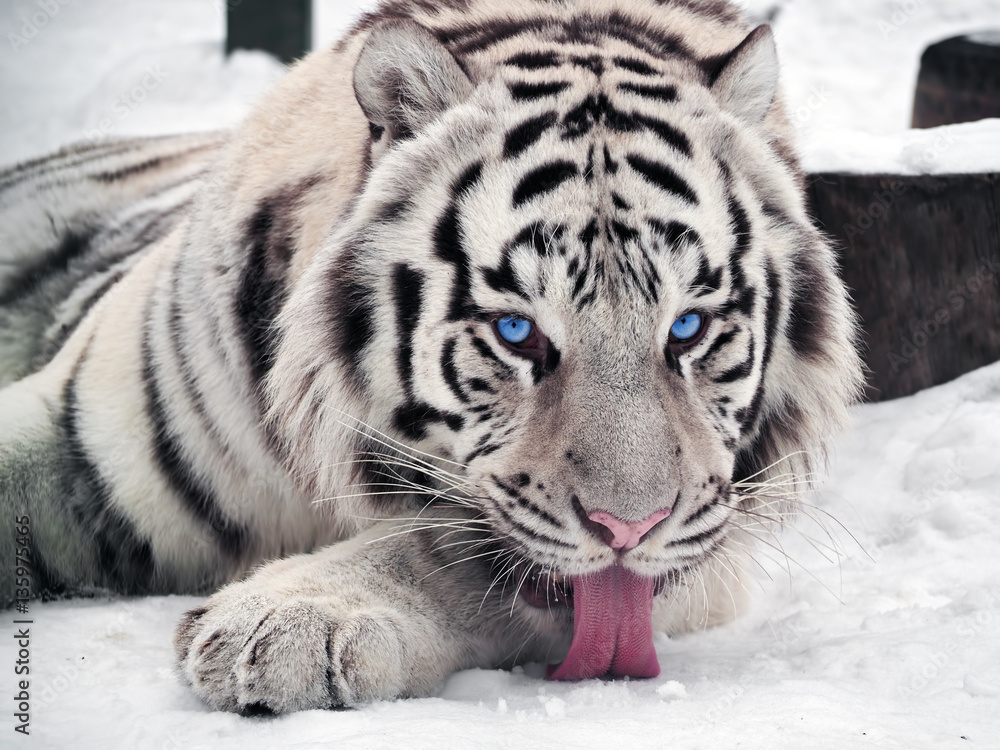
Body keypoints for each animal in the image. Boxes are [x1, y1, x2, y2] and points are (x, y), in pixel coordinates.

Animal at [0, 0, 860, 716]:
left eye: (686, 328)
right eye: (516, 332)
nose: (629, 528)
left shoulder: (711, 544)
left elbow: (443, 545)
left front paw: (290, 620)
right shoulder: (81, 434)